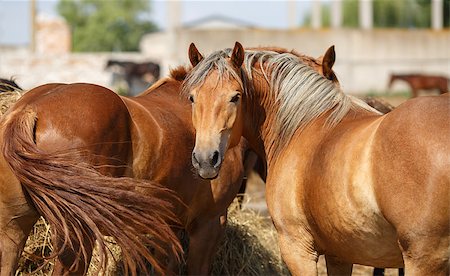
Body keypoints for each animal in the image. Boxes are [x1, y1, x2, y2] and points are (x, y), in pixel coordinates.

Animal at [181, 42, 448, 274]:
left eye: (235, 97)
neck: (303, 124)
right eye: (193, 98)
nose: (205, 159)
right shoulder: (339, 254)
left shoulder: (297, 249)